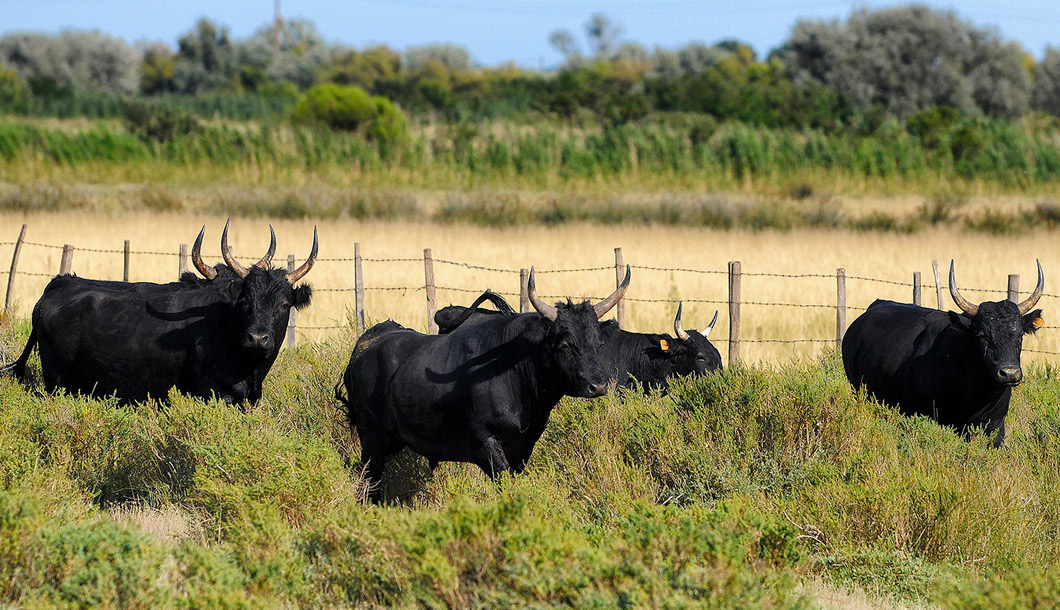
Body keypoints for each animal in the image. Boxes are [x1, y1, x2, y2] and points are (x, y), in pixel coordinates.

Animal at [1, 222, 313, 405]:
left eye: (283, 304)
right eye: (245, 299)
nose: (257, 338)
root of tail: (60, 283)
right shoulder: (213, 394)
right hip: (56, 382)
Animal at [337, 267, 627, 500]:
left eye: (598, 343)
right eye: (565, 344)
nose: (597, 386)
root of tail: (365, 345)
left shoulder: (522, 449)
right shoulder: (484, 444)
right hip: (372, 437)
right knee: (369, 483)